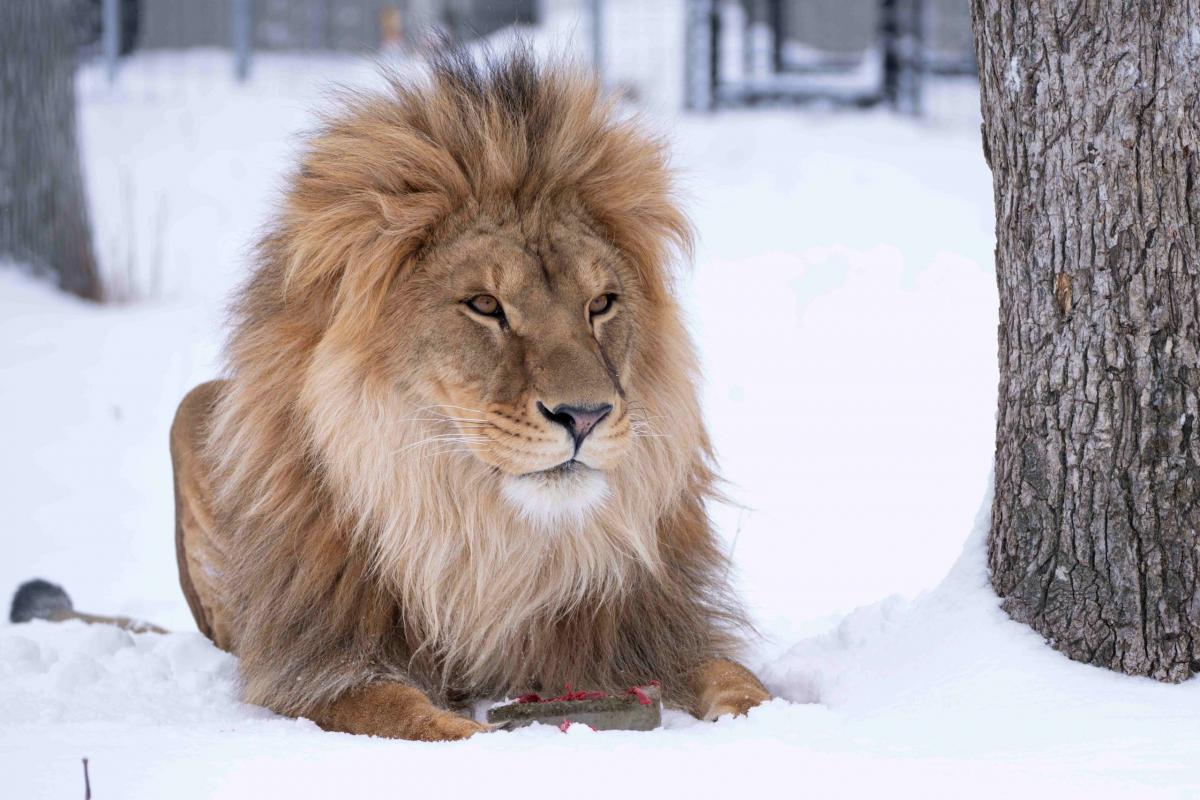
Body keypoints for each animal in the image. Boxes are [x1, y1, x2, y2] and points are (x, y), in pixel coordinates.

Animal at [169, 48, 769, 741]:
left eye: (601, 304)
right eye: (485, 305)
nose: (585, 415)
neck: (480, 533)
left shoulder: (649, 631)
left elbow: (737, 678)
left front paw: (762, 723)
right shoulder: (314, 671)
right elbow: (408, 716)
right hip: (192, 408)